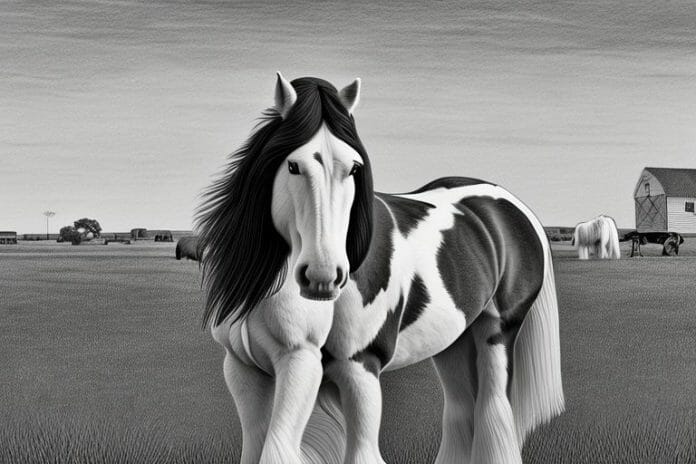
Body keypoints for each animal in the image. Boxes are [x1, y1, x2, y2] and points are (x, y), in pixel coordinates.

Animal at [197, 74, 565, 464]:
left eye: (354, 168)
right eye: (293, 166)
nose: (323, 277)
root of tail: (514, 207)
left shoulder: (340, 365)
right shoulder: (243, 368)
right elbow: (257, 447)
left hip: (497, 330)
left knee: (493, 410)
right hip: (454, 340)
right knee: (462, 410)